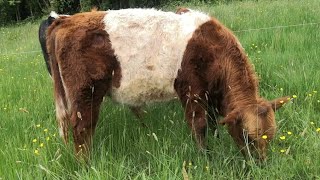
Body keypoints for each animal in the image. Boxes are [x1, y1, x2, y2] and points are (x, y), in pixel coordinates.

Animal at [45, 8, 290, 160]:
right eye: (249, 137)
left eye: (272, 136)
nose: (261, 164)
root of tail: (66, 20)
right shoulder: (191, 91)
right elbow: (199, 126)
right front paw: (205, 158)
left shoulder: (208, 95)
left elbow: (212, 123)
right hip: (85, 93)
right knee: (82, 130)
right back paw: (87, 165)